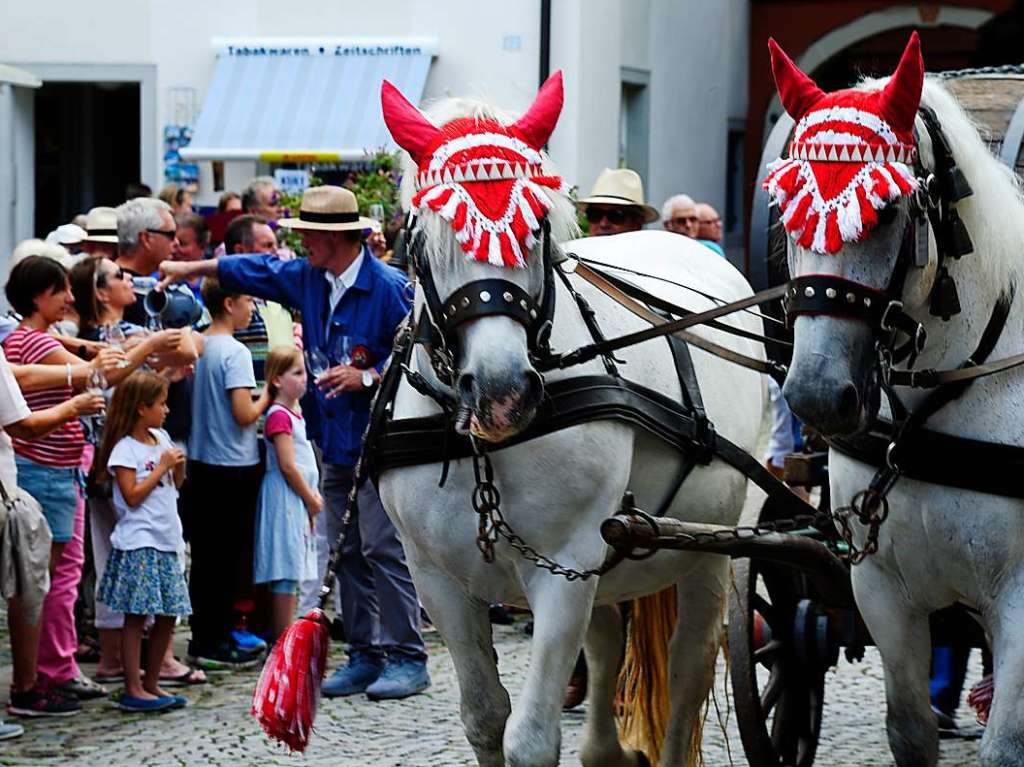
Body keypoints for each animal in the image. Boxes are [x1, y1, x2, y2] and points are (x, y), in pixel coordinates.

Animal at [376, 80, 770, 761]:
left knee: (690, 667)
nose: (503, 393)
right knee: (609, 644)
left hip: (711, 547)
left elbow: (530, 739)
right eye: (425, 236)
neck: (487, 453)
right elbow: (485, 717)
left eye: (535, 229)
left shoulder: (565, 564)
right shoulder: (435, 579)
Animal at [774, 40, 1024, 761]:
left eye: (886, 210)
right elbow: (909, 730)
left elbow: (1006, 745)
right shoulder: (884, 592)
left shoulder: (1021, 599)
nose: (816, 393)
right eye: (786, 211)